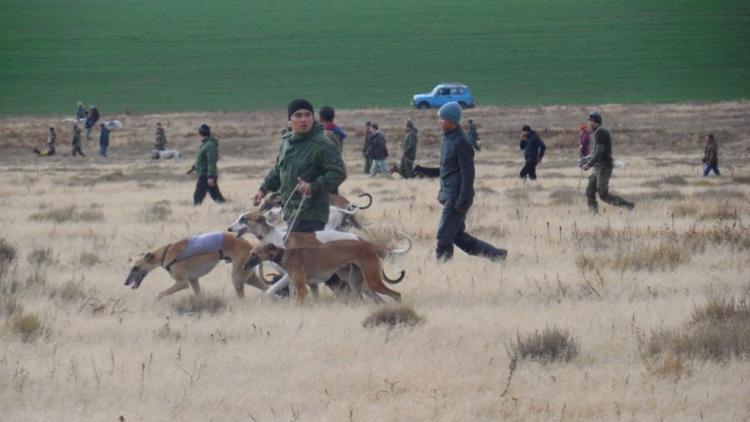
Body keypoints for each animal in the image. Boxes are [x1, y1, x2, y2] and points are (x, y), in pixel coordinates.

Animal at [126, 231, 270, 300]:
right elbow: (199, 295)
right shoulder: (193, 280)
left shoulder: (183, 282)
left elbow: (160, 294)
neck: (166, 253)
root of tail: (251, 245)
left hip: (237, 277)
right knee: (268, 288)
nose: (125, 282)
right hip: (249, 276)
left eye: (135, 268)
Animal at [245, 241, 406, 304]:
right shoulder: (309, 286)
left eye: (254, 254)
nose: (244, 266)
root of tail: (371, 245)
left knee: (396, 294)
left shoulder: (302, 289)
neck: (285, 255)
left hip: (372, 280)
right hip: (357, 282)